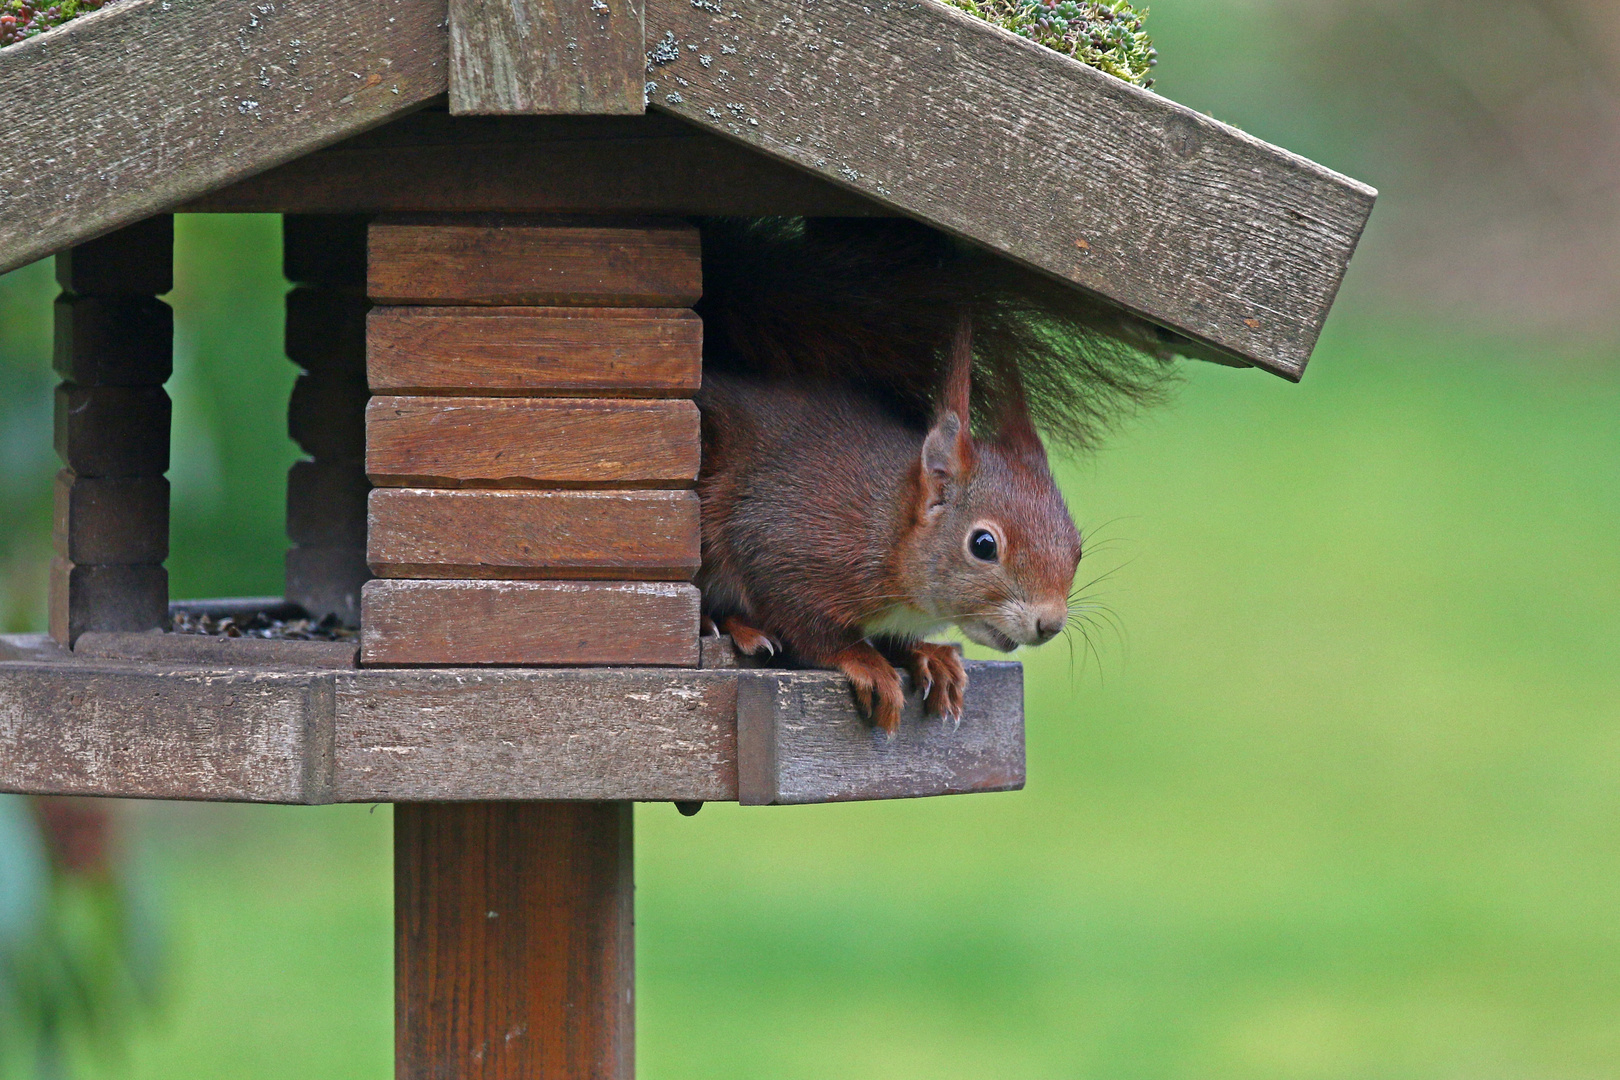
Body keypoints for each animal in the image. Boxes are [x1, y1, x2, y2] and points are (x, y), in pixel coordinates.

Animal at [690, 216, 1172, 735]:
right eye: (983, 545)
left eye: (1077, 549)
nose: (1050, 624)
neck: (890, 528)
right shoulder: (786, 540)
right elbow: (806, 624)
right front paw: (867, 662)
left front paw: (926, 654)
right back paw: (730, 626)